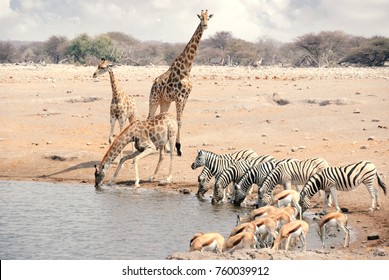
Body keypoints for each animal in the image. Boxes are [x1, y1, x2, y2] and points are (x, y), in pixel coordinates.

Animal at [148, 9, 214, 156]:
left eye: (209, 18)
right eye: (200, 18)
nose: (205, 25)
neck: (187, 68)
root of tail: (154, 83)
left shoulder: (186, 97)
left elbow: (180, 121)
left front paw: (176, 148)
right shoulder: (179, 97)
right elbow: (179, 121)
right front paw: (178, 148)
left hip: (165, 101)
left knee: (161, 116)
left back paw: (165, 148)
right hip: (154, 98)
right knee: (149, 117)